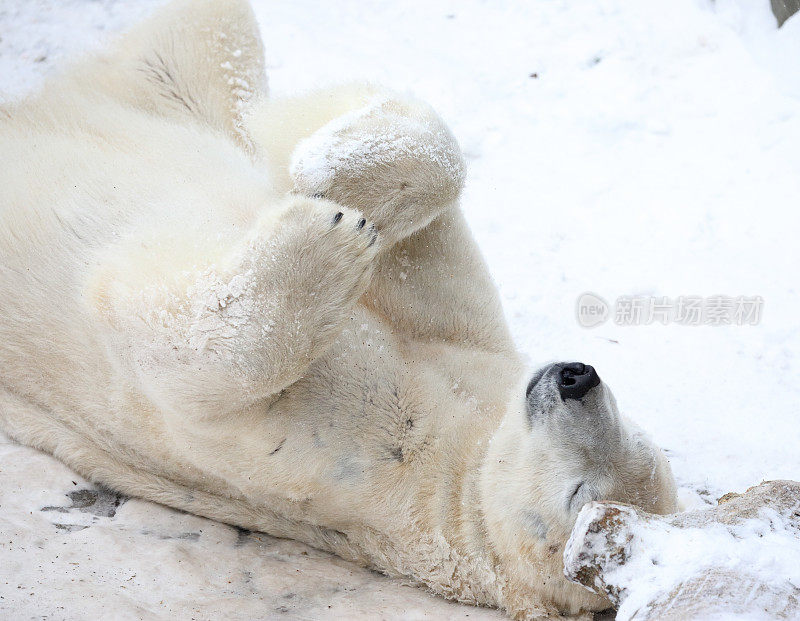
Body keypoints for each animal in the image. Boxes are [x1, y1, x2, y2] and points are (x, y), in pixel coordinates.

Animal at [0, 2, 676, 616]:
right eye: (633, 431)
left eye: (580, 493)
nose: (576, 377)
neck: (465, 445)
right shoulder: (462, 339)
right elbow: (425, 222)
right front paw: (335, 181)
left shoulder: (360, 470)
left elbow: (203, 385)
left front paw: (330, 238)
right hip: (152, 92)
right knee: (208, 48)